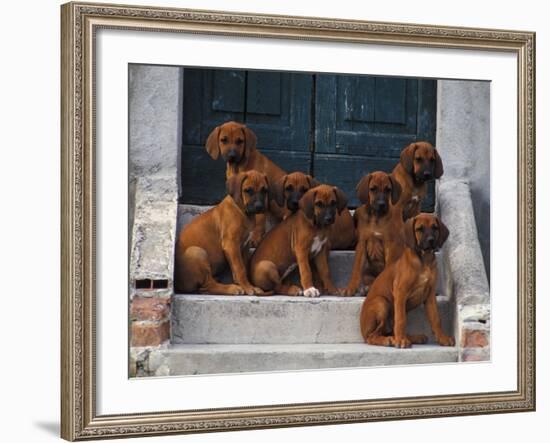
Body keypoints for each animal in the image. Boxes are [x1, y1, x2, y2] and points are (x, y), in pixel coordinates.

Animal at [360, 213, 454, 348]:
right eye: (420, 229)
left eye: (435, 228)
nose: (431, 240)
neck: (424, 260)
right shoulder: (400, 292)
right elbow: (401, 320)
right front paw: (400, 340)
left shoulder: (430, 295)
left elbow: (436, 318)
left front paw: (443, 338)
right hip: (381, 302)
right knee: (372, 336)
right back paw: (389, 340)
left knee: (389, 330)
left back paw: (413, 337)